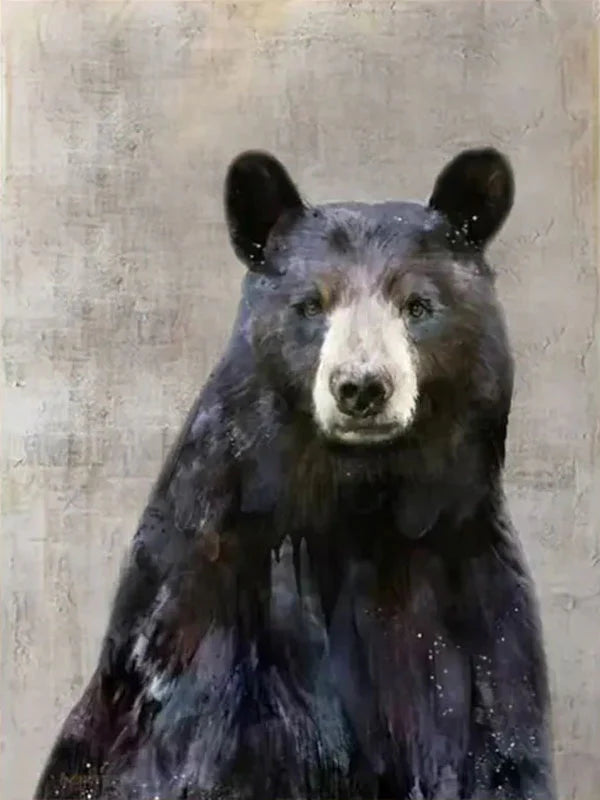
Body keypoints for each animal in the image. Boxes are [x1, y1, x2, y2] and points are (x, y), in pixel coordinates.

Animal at [35, 147, 556, 800]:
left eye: (418, 306)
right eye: (311, 304)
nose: (362, 387)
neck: (359, 504)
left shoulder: (473, 607)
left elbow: (496, 745)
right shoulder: (208, 622)